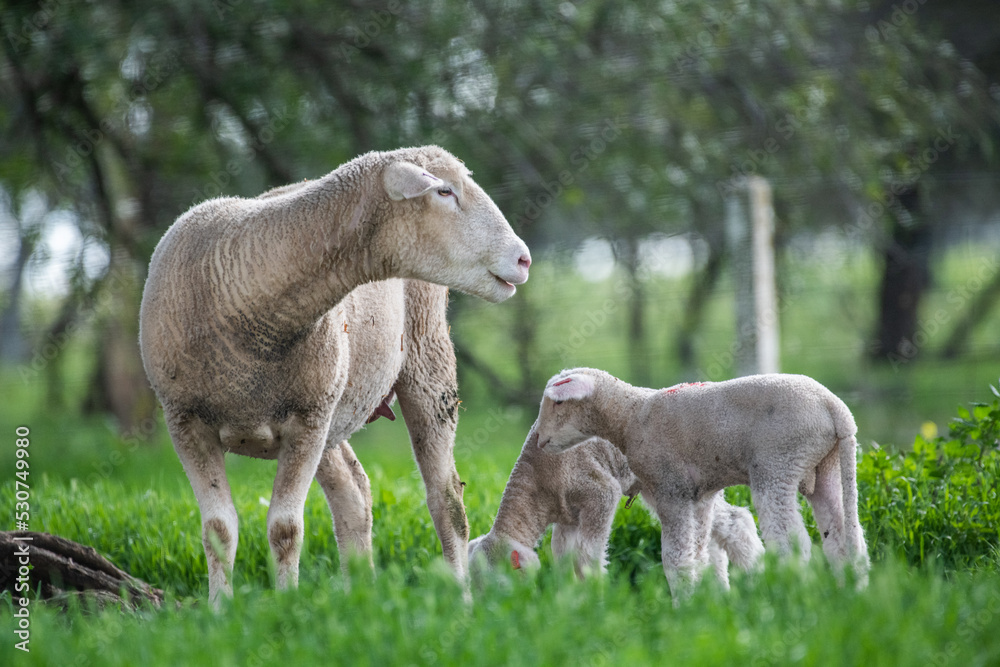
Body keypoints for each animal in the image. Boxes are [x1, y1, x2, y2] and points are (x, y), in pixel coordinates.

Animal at [138, 146, 531, 604]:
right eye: (444, 191)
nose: (523, 258)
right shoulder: (184, 421)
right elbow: (218, 530)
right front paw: (219, 610)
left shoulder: (307, 420)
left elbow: (285, 529)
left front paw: (285, 606)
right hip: (334, 405)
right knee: (355, 494)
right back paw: (358, 596)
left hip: (425, 362)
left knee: (447, 500)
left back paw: (461, 600)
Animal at [468, 424, 764, 587]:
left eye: (502, 585)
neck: (537, 483)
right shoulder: (567, 517)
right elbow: (563, 556)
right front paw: (569, 596)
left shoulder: (599, 492)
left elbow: (587, 555)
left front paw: (596, 594)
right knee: (725, 527)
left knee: (734, 522)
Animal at [534, 369, 870, 598]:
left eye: (556, 403)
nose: (538, 440)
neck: (629, 417)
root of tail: (837, 409)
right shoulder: (700, 495)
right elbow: (699, 553)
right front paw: (705, 600)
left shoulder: (671, 489)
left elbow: (675, 557)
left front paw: (682, 603)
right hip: (824, 466)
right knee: (842, 536)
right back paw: (851, 592)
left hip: (778, 464)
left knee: (792, 542)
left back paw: (789, 593)